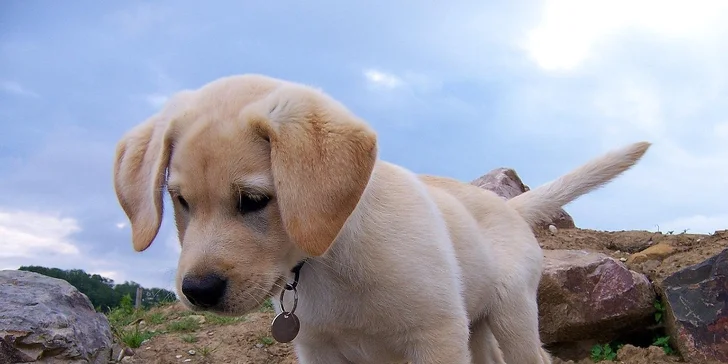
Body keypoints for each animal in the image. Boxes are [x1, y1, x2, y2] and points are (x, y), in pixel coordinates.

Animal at [115, 74, 656, 364]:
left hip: (513, 316)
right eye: (179, 200)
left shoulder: (436, 338)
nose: (198, 291)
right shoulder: (317, 349)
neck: (330, 259)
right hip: (477, 326)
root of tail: (505, 204)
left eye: (253, 200)